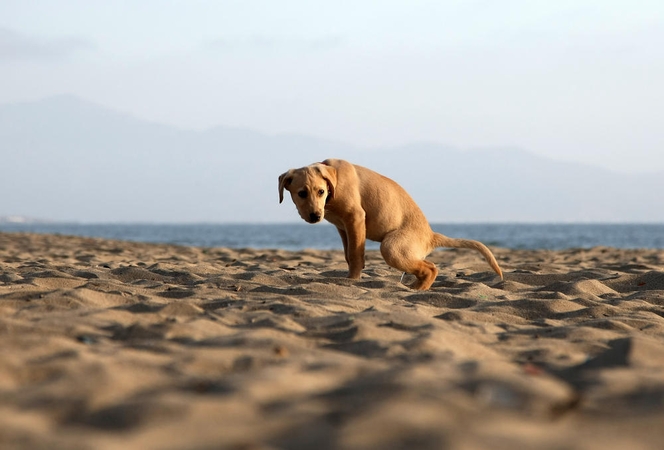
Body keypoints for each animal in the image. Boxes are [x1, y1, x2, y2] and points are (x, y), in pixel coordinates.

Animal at [278, 160, 500, 290]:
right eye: (302, 193)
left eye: (321, 191)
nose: (315, 216)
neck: (334, 185)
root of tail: (431, 235)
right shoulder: (343, 228)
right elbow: (348, 254)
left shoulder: (356, 218)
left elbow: (355, 255)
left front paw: (352, 280)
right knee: (425, 266)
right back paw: (413, 287)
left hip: (391, 247)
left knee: (431, 268)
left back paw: (416, 289)